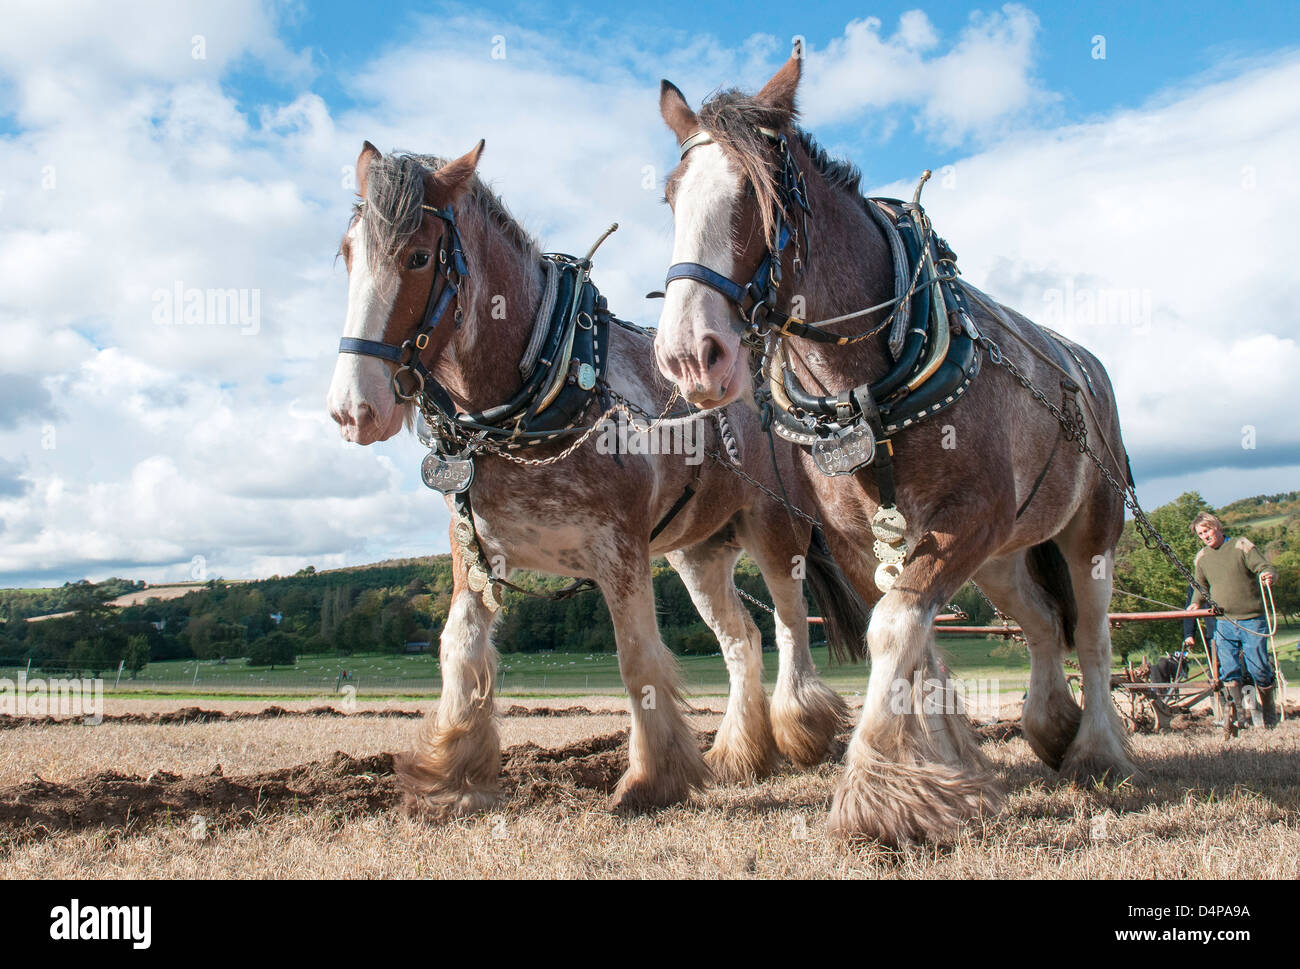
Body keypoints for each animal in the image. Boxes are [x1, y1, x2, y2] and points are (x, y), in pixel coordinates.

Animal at [326, 139, 869, 817]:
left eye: (419, 256)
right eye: (349, 253)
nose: (353, 409)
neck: (536, 395)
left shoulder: (620, 550)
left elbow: (636, 659)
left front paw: (651, 779)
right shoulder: (475, 551)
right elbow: (460, 649)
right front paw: (449, 776)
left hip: (775, 528)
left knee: (789, 625)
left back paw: (800, 730)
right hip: (697, 552)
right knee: (741, 638)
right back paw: (741, 754)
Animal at [652, 54, 1140, 844]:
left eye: (762, 195)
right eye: (671, 197)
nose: (691, 356)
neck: (866, 387)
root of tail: (1085, 364)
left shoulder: (965, 518)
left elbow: (894, 632)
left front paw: (880, 794)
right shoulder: (867, 538)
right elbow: (918, 642)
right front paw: (941, 766)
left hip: (1090, 528)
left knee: (1092, 631)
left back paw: (1097, 747)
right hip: (1003, 553)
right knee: (1040, 621)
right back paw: (1051, 725)